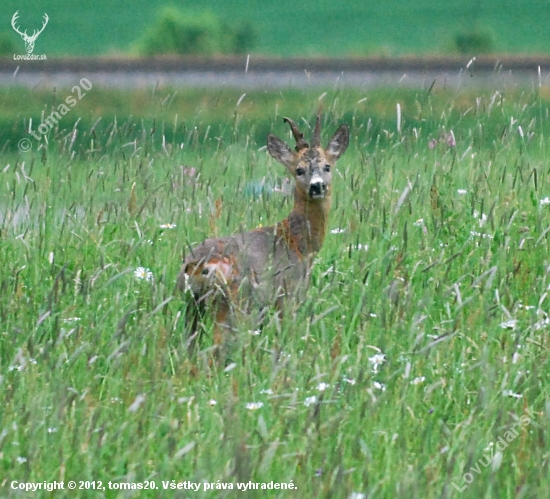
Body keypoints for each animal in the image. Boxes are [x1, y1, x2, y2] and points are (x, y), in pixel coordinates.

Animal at [179, 114, 352, 356]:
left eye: (327, 166)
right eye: (299, 170)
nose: (317, 186)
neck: (298, 242)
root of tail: (196, 264)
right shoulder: (289, 294)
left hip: (192, 305)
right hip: (234, 302)